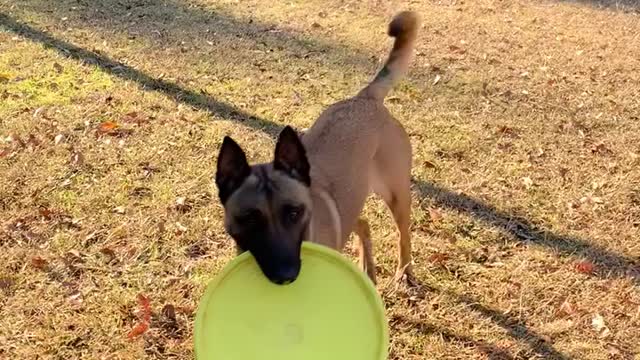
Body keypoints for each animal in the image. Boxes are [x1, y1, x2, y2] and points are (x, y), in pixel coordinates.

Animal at [215, 11, 420, 286]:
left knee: (403, 235)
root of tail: (364, 98)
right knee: (363, 223)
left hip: (397, 196)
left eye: (294, 213)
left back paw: (404, 271)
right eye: (249, 218)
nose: (286, 275)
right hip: (352, 205)